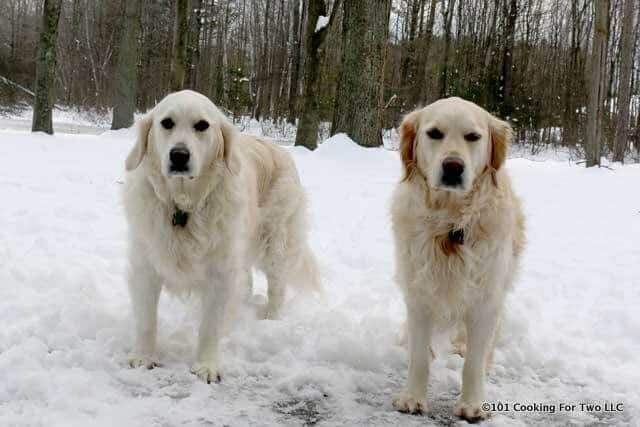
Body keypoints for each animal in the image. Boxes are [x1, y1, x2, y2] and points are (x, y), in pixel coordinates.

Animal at [121, 90, 318, 384]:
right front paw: (143, 357)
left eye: (202, 125)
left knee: (277, 287)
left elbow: (210, 325)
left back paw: (270, 321)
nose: (179, 155)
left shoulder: (220, 271)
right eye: (166, 123)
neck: (183, 206)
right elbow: (146, 320)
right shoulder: (146, 264)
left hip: (274, 243)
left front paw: (207, 365)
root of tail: (280, 150)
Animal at [390, 97, 524, 422]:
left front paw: (472, 404)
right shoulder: (419, 293)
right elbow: (419, 358)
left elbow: (473, 364)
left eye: (473, 137)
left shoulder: (485, 298)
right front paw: (413, 397)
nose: (453, 166)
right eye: (434, 133)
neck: (450, 222)